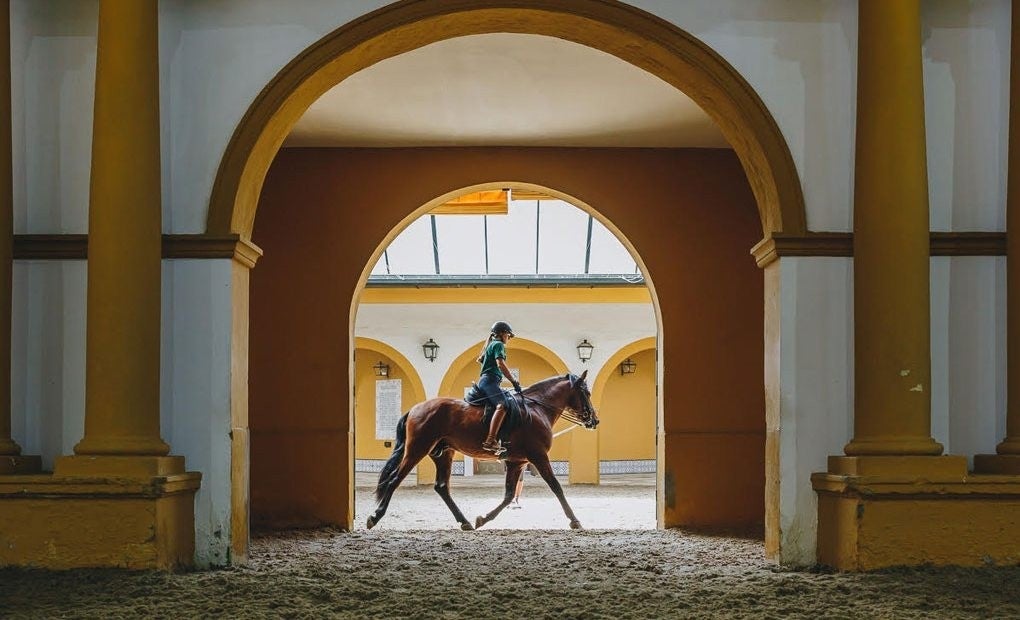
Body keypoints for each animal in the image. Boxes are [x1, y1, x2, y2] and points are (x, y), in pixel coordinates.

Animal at [367, 371, 599, 530]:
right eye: (586, 392)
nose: (594, 420)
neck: (537, 409)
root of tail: (416, 408)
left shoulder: (517, 461)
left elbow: (508, 495)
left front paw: (483, 519)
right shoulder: (538, 456)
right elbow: (556, 487)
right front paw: (574, 520)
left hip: (443, 454)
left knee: (442, 487)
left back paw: (465, 522)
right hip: (417, 449)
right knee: (394, 479)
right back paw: (375, 517)